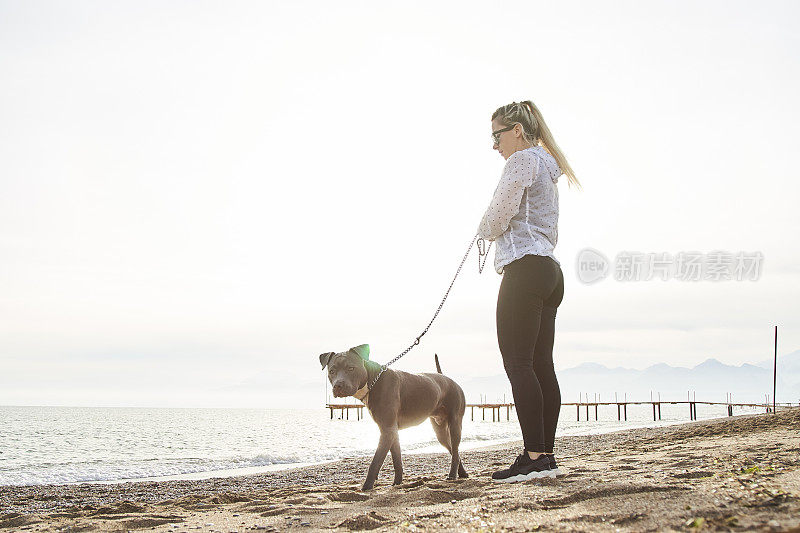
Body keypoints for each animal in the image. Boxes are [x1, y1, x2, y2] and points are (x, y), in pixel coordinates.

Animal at [318, 342, 468, 488]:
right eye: (332, 371)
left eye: (351, 368)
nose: (338, 386)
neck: (373, 380)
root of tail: (447, 378)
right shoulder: (391, 430)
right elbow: (397, 458)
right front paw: (397, 482)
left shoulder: (387, 429)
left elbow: (376, 462)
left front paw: (366, 487)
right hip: (440, 431)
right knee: (454, 451)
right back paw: (462, 473)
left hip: (455, 424)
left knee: (455, 450)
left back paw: (452, 475)